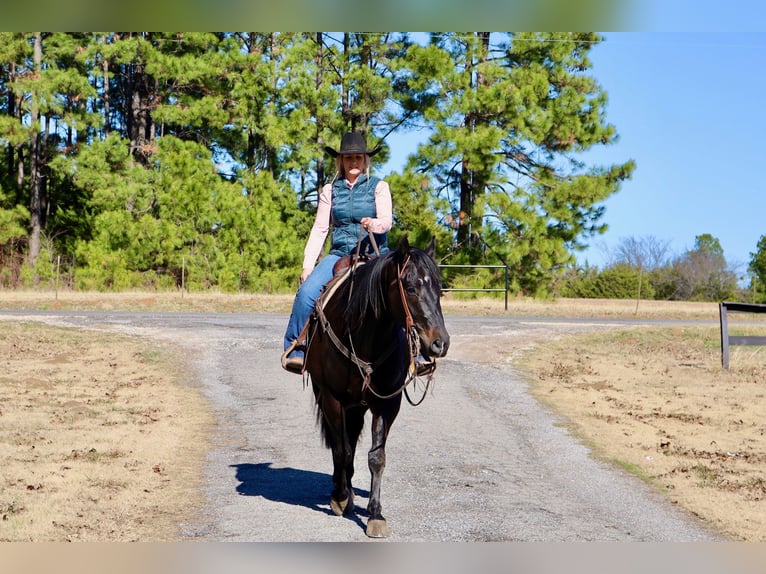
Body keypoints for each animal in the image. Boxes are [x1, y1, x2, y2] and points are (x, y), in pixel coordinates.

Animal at [304, 235, 450, 540]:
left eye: (439, 290)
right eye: (410, 287)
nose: (439, 343)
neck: (364, 335)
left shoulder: (386, 404)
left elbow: (376, 457)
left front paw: (375, 514)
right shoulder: (332, 397)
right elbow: (341, 449)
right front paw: (340, 498)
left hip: (357, 406)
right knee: (341, 443)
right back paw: (342, 491)